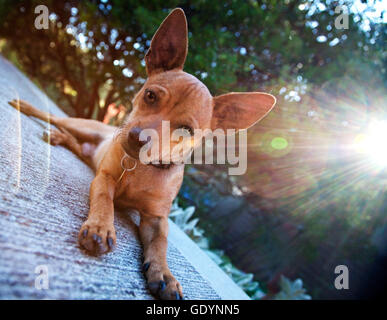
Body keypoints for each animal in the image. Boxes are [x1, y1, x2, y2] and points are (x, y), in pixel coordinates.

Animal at [8, 7, 276, 298]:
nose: (138, 138)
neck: (140, 169)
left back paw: (58, 137)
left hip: (86, 146)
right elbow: (104, 200)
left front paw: (165, 274)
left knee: (76, 144)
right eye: (150, 96)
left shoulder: (157, 218)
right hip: (81, 125)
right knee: (54, 118)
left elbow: (160, 243)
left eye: (186, 130)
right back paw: (27, 108)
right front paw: (101, 227)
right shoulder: (105, 179)